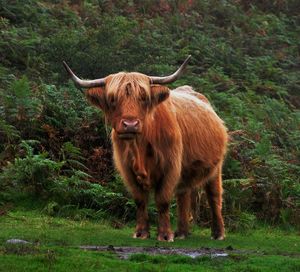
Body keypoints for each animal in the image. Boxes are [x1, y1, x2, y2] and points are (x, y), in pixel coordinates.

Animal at [63, 55, 227, 242]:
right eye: (112, 99)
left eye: (144, 98)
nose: (130, 124)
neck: (140, 147)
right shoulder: (127, 169)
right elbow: (140, 200)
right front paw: (141, 233)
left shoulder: (170, 166)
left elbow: (162, 200)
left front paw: (165, 235)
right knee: (183, 196)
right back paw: (182, 233)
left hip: (215, 168)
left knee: (214, 196)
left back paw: (218, 234)